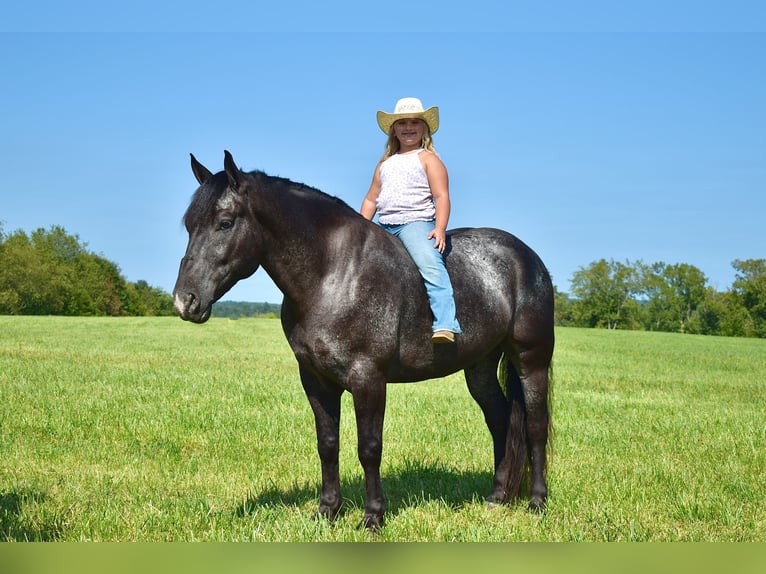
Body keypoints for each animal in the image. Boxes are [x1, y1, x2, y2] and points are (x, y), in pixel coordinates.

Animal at [173, 152, 556, 532]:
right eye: (189, 225)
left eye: (225, 222)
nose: (184, 301)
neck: (334, 275)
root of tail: (527, 258)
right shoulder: (316, 380)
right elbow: (327, 444)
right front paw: (327, 511)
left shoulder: (368, 379)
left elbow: (369, 447)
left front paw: (373, 516)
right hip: (479, 367)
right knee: (500, 420)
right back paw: (498, 497)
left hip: (530, 359)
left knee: (535, 426)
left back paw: (537, 501)